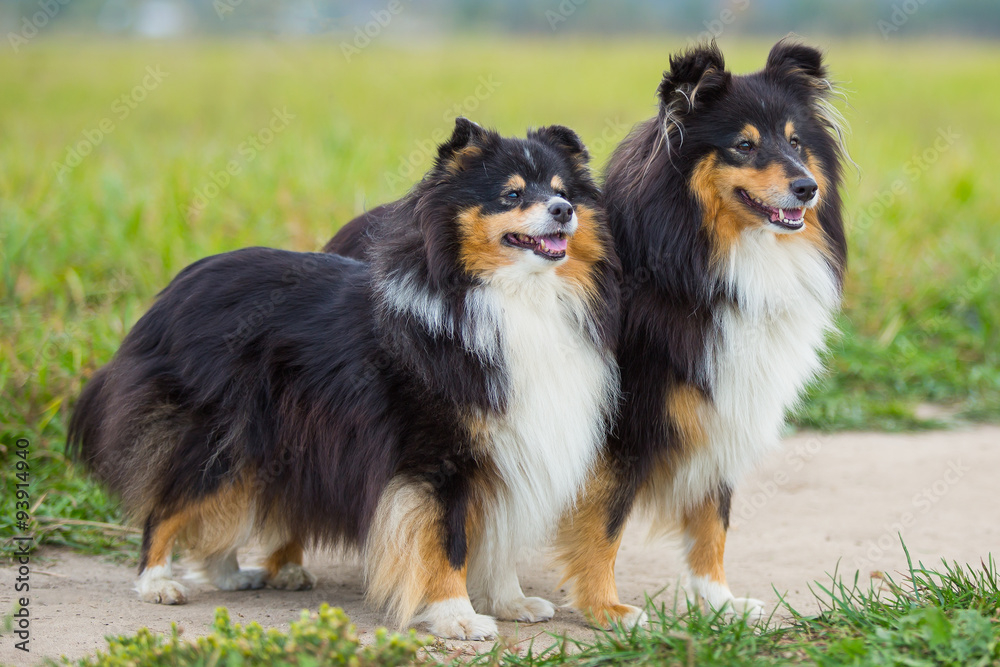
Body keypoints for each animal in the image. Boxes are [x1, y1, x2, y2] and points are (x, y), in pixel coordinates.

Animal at [66, 117, 620, 640]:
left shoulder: (508, 447)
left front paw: (511, 603)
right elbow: (448, 542)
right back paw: (157, 583)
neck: (511, 297)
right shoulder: (437, 458)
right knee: (169, 505)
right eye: (511, 194)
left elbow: (498, 540)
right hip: (217, 434)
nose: (562, 211)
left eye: (563, 191)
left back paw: (230, 575)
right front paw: (458, 618)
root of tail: (175, 289)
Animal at [324, 39, 848, 628]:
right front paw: (607, 609)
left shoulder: (724, 408)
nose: (807, 187)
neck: (700, 259)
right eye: (744, 145)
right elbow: (605, 524)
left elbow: (713, 518)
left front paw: (719, 602)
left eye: (796, 142)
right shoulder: (617, 427)